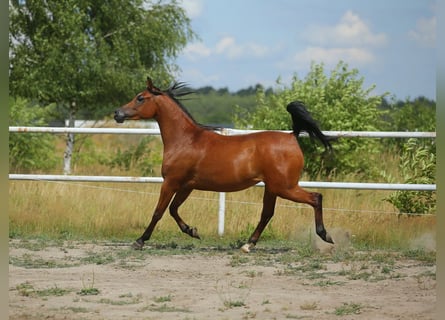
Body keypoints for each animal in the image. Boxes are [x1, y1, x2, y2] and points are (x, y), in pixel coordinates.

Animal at [115, 77, 332, 252]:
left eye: (140, 98)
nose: (117, 113)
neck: (186, 140)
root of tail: (292, 136)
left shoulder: (171, 182)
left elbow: (158, 212)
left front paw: (140, 241)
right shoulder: (186, 186)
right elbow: (173, 209)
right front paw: (192, 231)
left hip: (284, 187)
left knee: (316, 198)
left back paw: (325, 235)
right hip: (272, 187)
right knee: (267, 214)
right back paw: (248, 245)